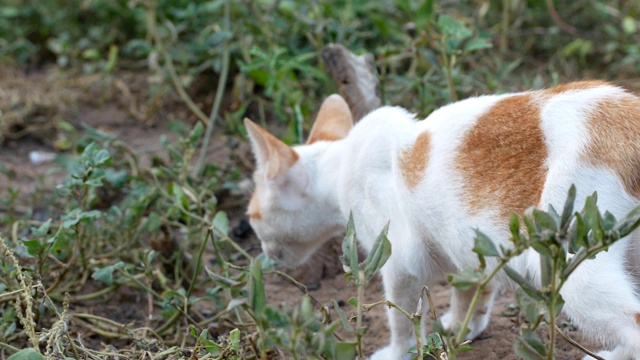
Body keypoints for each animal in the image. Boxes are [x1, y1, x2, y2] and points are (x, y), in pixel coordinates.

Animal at [242, 80, 640, 358]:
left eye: (251, 215)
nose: (262, 249)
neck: (339, 169)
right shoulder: (472, 251)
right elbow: (471, 295)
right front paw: (459, 329)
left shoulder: (398, 262)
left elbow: (400, 319)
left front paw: (397, 353)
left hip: (572, 264)